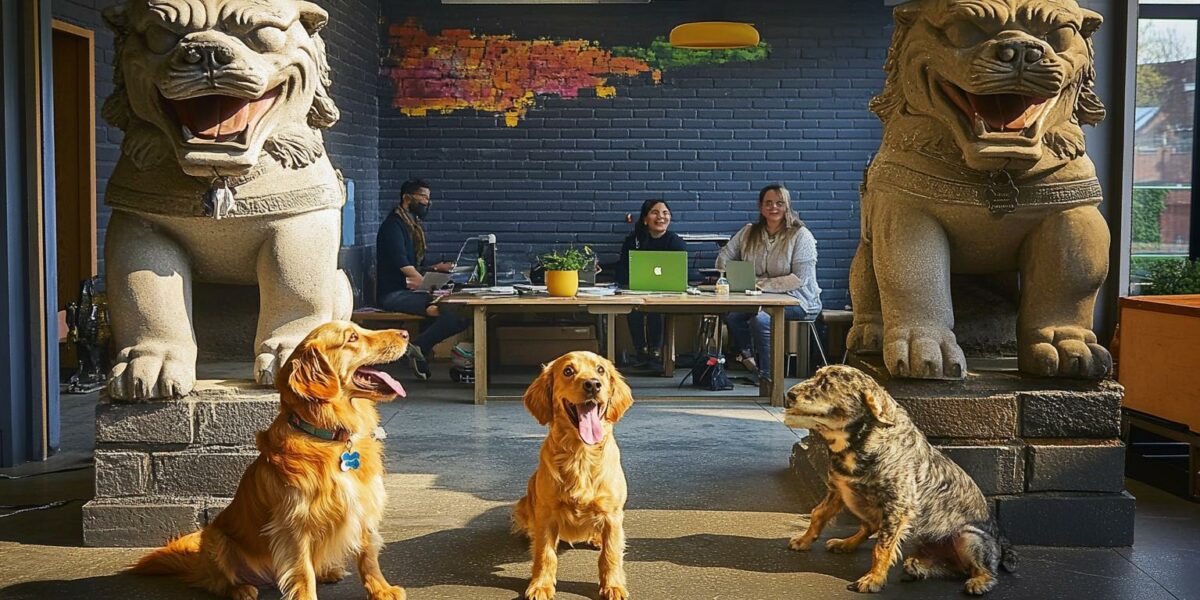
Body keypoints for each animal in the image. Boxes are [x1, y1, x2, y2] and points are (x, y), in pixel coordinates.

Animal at [130, 321, 412, 600]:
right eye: (352, 337)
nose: (406, 333)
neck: (330, 437)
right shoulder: (294, 525)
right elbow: (303, 573)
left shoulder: (365, 506)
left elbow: (368, 556)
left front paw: (381, 589)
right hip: (214, 538)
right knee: (218, 581)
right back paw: (240, 589)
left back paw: (328, 571)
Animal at [513, 350, 638, 600]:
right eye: (568, 371)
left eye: (600, 370)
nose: (593, 384)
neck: (581, 454)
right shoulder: (547, 514)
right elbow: (545, 555)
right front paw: (541, 585)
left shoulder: (613, 515)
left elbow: (610, 555)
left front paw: (613, 586)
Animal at [782, 364, 1017, 595]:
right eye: (816, 376)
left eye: (827, 384)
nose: (789, 395)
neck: (862, 441)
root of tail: (1000, 541)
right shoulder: (838, 490)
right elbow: (818, 514)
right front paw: (804, 540)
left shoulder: (897, 507)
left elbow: (882, 547)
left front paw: (874, 579)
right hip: (860, 503)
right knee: (876, 531)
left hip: (967, 537)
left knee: (983, 570)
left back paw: (978, 581)